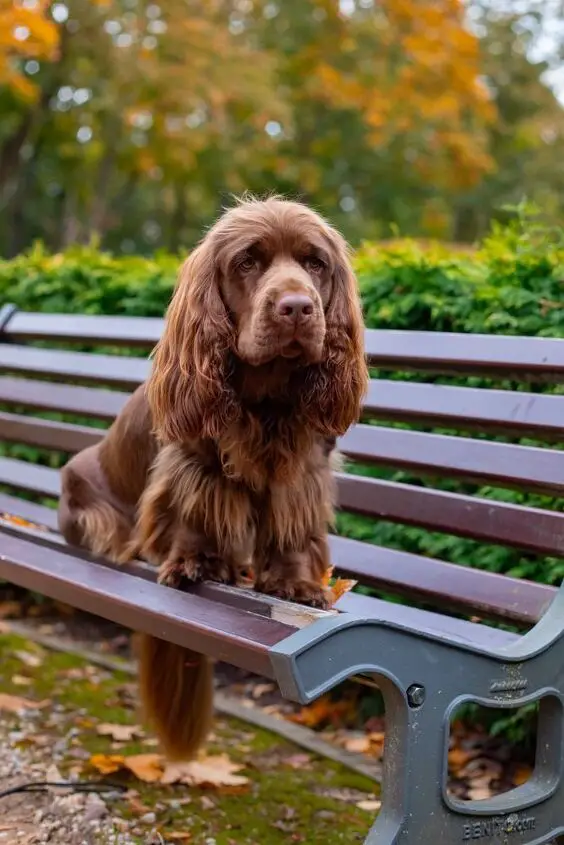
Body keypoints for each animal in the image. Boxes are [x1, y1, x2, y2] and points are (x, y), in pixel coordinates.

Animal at [59, 196, 368, 760]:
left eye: (315, 263)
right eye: (248, 261)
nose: (298, 307)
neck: (267, 397)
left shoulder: (304, 470)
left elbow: (292, 529)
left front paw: (295, 583)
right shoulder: (193, 460)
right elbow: (196, 511)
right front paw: (195, 563)